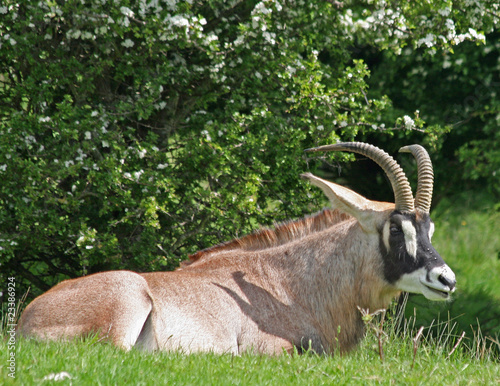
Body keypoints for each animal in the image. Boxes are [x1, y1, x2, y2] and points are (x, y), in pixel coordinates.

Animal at [18, 142, 458, 356]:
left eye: (429, 228)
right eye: (396, 229)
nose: (446, 280)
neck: (290, 283)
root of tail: (24, 322)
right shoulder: (271, 350)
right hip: (126, 303)